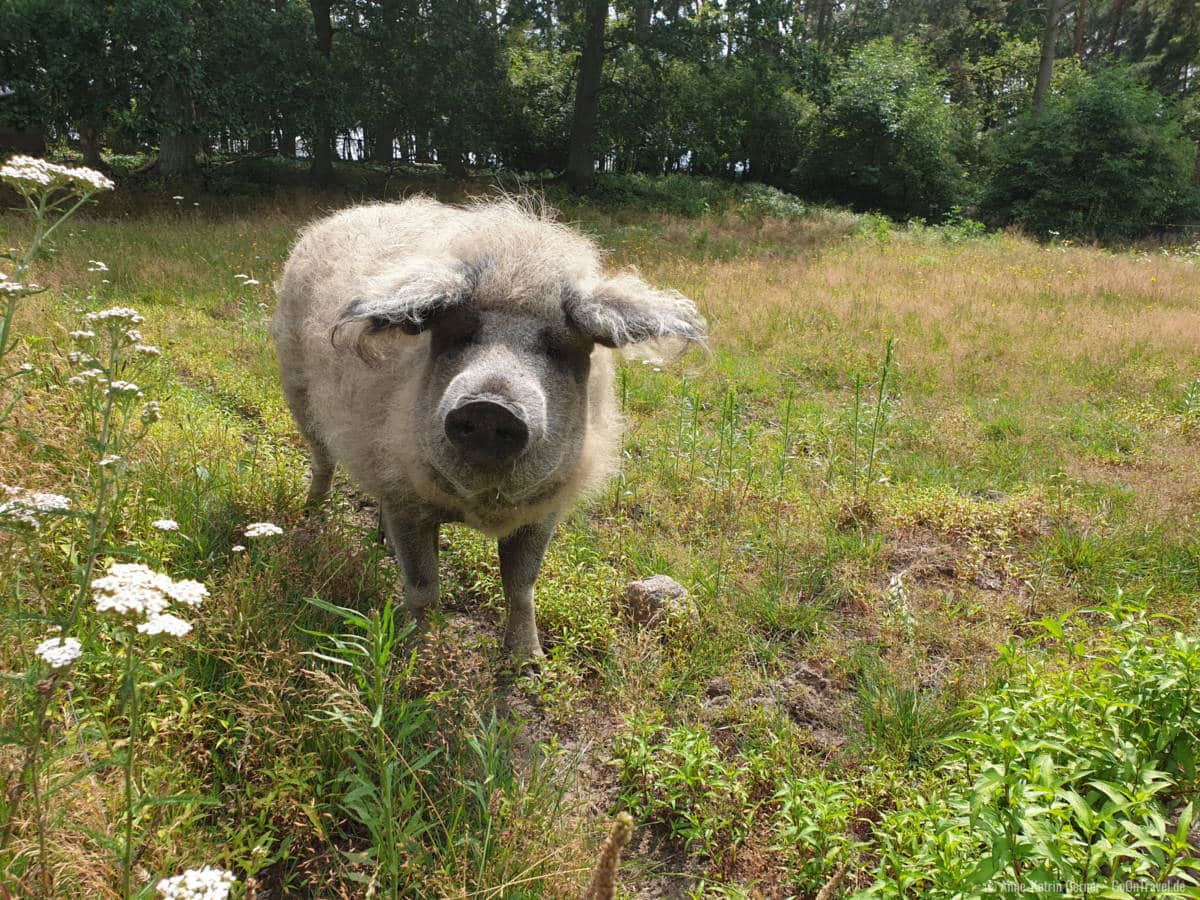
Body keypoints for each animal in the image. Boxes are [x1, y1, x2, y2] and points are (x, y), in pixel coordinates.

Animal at [270, 199, 700, 662]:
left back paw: (380, 544)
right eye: (460, 334)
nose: (491, 406)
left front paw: (529, 663)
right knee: (322, 460)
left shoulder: (545, 508)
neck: (480, 509)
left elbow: (521, 585)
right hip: (296, 388)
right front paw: (420, 657)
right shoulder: (405, 493)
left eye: (556, 346)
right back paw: (311, 516)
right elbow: (422, 586)